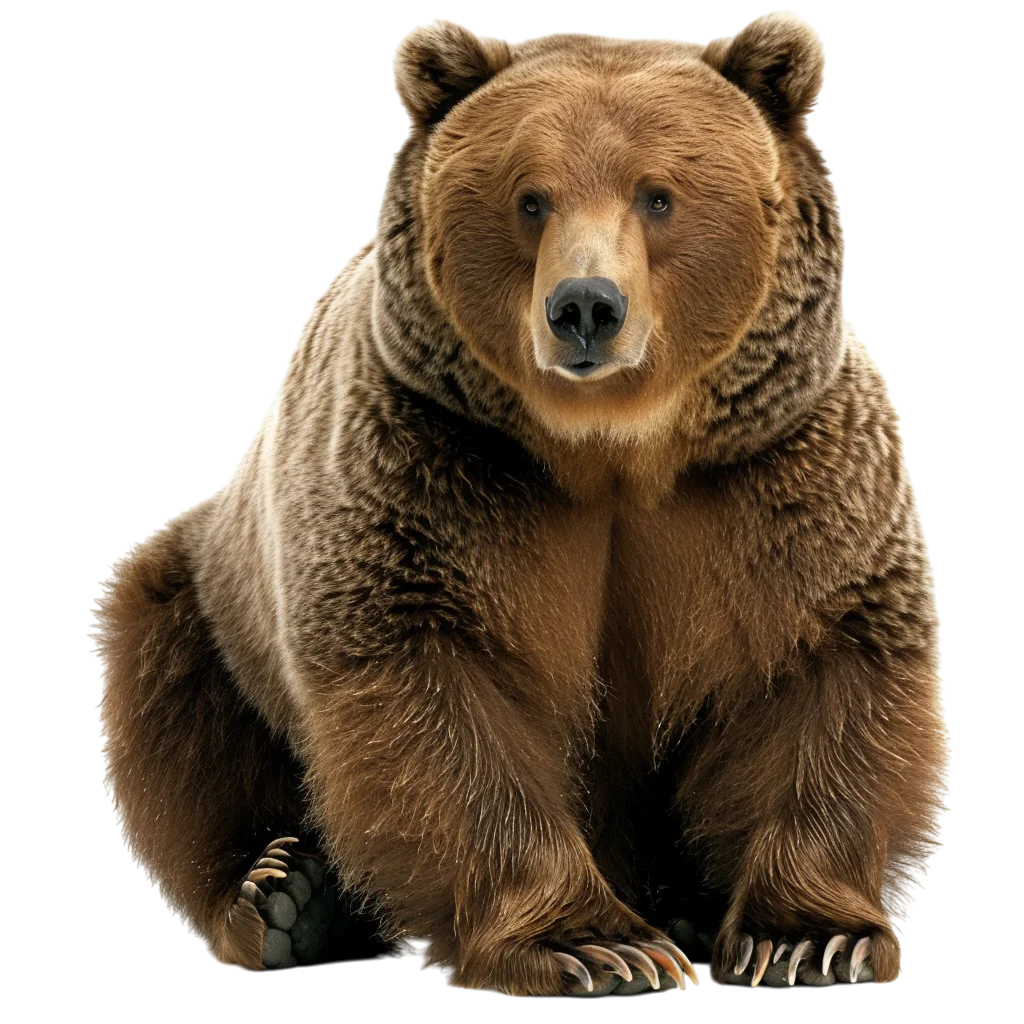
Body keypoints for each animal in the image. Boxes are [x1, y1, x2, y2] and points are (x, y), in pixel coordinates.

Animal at [93, 14, 949, 994]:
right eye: (530, 197)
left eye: (658, 195)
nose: (585, 307)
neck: (613, 451)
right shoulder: (428, 477)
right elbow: (439, 706)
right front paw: (597, 947)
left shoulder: (781, 481)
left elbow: (825, 672)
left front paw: (807, 941)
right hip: (210, 599)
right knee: (175, 712)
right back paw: (277, 897)